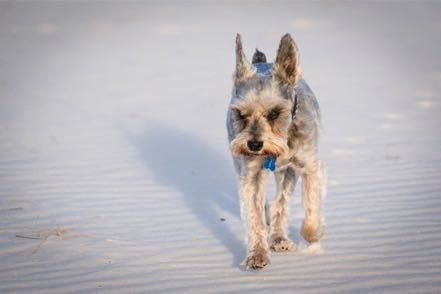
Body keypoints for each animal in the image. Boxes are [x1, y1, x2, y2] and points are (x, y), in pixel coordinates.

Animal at [227, 33, 324, 270]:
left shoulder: (309, 166)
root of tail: (262, 61)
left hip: (287, 172)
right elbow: (254, 216)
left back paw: (280, 238)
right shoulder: (251, 173)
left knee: (281, 200)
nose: (254, 145)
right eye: (240, 114)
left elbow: (309, 205)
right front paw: (257, 255)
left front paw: (313, 234)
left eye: (274, 113)